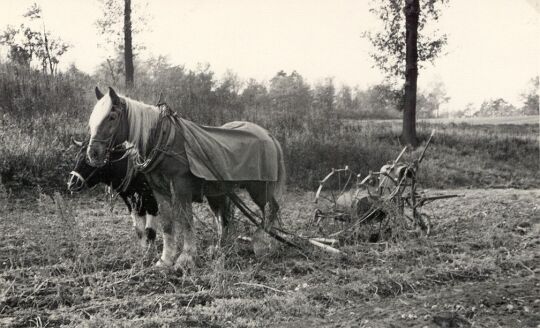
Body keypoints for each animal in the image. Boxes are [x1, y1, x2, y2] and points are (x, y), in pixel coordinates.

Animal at [85, 86, 284, 270]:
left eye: (111, 117)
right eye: (93, 117)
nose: (93, 153)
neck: (163, 140)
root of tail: (268, 135)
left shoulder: (181, 187)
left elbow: (186, 221)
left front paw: (185, 258)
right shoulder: (158, 189)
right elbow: (166, 223)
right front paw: (165, 260)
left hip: (260, 188)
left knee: (270, 209)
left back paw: (261, 244)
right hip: (219, 192)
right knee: (223, 216)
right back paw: (220, 247)